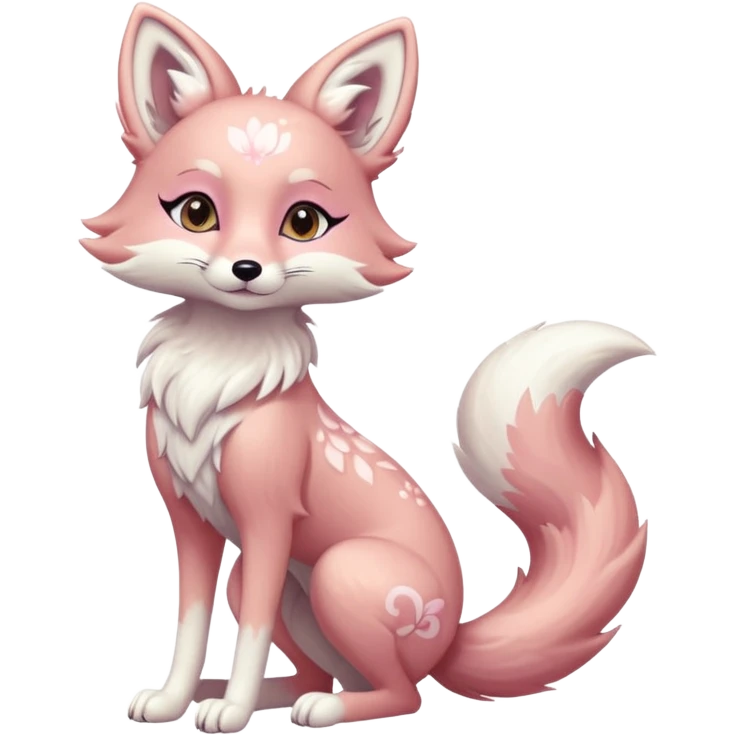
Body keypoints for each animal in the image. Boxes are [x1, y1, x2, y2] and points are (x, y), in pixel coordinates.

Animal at [80, 3, 653, 732]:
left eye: (303, 221)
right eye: (196, 212)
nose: (245, 269)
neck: (219, 379)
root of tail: (451, 635)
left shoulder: (267, 521)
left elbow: (250, 632)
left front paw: (230, 713)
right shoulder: (192, 522)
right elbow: (187, 623)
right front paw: (174, 699)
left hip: (342, 572)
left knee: (401, 693)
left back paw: (317, 707)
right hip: (286, 588)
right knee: (321, 668)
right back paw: (265, 693)